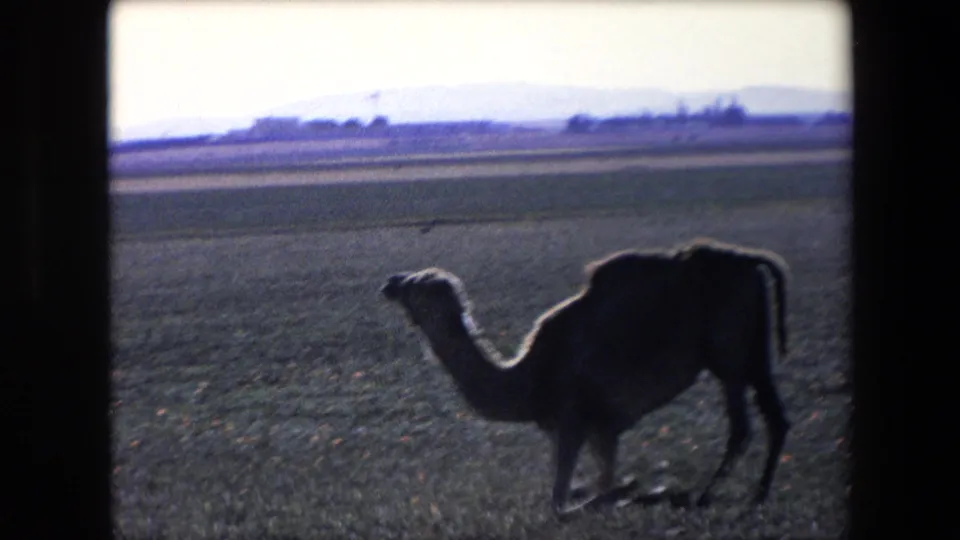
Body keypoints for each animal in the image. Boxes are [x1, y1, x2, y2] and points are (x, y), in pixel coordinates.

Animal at [380, 237, 791, 518]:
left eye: (414, 286)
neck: (527, 379)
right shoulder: (599, 429)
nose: (390, 282)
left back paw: (714, 496)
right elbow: (589, 484)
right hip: (751, 349)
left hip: (730, 353)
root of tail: (751, 263)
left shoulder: (578, 421)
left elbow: (562, 502)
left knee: (744, 424)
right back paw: (754, 495)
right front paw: (634, 490)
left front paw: (635, 490)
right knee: (773, 417)